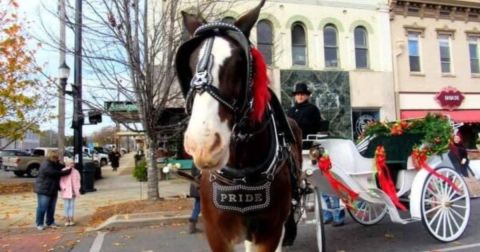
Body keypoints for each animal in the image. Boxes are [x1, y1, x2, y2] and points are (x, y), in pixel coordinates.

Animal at [176, 0, 302, 251]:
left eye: (239, 63)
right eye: (191, 64)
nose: (203, 145)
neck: (242, 174)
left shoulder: (270, 232)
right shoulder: (216, 234)